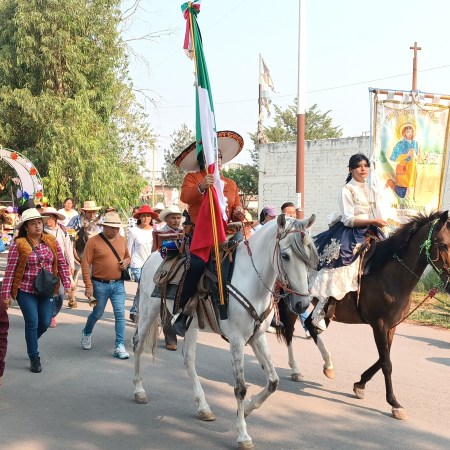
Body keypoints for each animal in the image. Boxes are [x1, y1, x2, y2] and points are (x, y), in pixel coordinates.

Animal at [132, 215, 319, 449]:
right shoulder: (237, 341)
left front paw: (246, 410)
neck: (251, 279)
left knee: (188, 359)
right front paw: (243, 435)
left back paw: (203, 407)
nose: (302, 304)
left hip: (192, 325)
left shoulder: (257, 337)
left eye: (309, 255)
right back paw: (139, 391)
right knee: (138, 345)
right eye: (285, 256)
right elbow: (240, 388)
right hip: (148, 311)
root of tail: (154, 255)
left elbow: (273, 381)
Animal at [277, 211, 450, 420]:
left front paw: (360, 384)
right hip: (294, 301)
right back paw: (296, 369)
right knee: (290, 331)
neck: (391, 275)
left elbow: (383, 359)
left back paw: (328, 366)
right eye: (443, 245)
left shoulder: (391, 327)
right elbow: (386, 363)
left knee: (310, 326)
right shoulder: (379, 325)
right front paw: (394, 403)